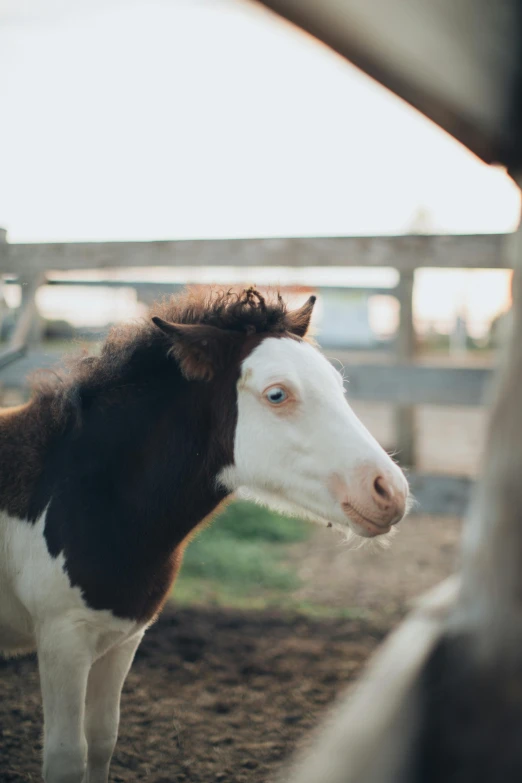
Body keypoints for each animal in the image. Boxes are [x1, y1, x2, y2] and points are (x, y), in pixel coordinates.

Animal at [0, 288, 406, 783]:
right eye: (277, 394)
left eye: (336, 383)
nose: (390, 491)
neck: (80, 494)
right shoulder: (63, 639)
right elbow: (65, 756)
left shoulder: (122, 638)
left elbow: (101, 740)